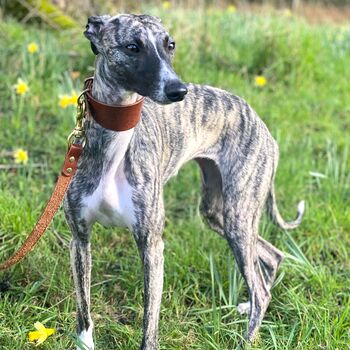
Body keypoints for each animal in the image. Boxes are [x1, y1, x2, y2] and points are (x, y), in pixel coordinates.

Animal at [65, 14, 304, 350]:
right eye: (132, 46)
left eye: (171, 44)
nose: (179, 90)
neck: (116, 142)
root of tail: (262, 126)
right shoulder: (80, 237)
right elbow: (84, 310)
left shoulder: (152, 246)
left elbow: (149, 325)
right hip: (219, 214)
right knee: (271, 257)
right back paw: (248, 308)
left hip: (238, 215)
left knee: (261, 286)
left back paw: (248, 335)